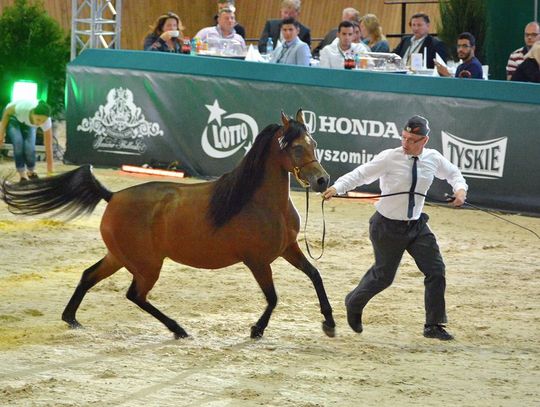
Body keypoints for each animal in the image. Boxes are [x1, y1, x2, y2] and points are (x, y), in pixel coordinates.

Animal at [1, 110, 338, 340]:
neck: (260, 202)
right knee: (135, 295)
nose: (323, 181)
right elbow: (273, 297)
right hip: (147, 264)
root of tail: (112, 195)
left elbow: (315, 275)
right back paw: (178, 328)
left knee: (88, 276)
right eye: (296, 148)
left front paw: (330, 323)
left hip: (120, 257)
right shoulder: (257, 261)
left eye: (314, 143)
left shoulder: (287, 248)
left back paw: (72, 319)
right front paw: (256, 329)